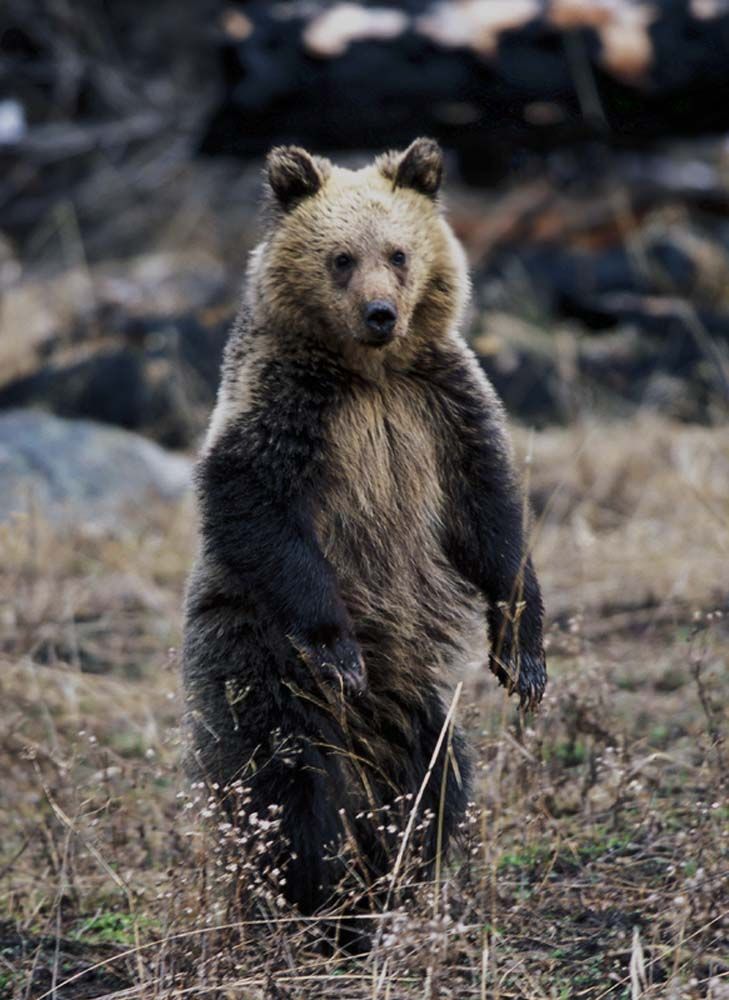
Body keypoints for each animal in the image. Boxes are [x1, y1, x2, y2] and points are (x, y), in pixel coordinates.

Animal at [182, 138, 546, 929]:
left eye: (399, 252)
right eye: (340, 258)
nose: (381, 313)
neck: (370, 374)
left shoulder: (441, 406)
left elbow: (492, 520)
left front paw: (524, 659)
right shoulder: (289, 411)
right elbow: (255, 507)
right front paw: (339, 650)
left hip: (418, 709)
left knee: (435, 781)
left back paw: (399, 887)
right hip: (253, 660)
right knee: (286, 788)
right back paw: (319, 908)